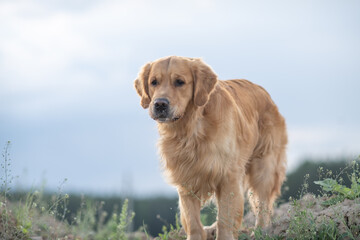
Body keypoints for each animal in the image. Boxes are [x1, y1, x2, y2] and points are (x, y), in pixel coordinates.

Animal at [134, 56, 286, 240]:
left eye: (180, 82)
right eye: (154, 82)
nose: (160, 104)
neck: (191, 128)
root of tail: (264, 92)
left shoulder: (228, 176)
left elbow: (226, 218)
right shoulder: (185, 178)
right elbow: (192, 221)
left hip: (264, 167)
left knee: (263, 205)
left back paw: (260, 232)